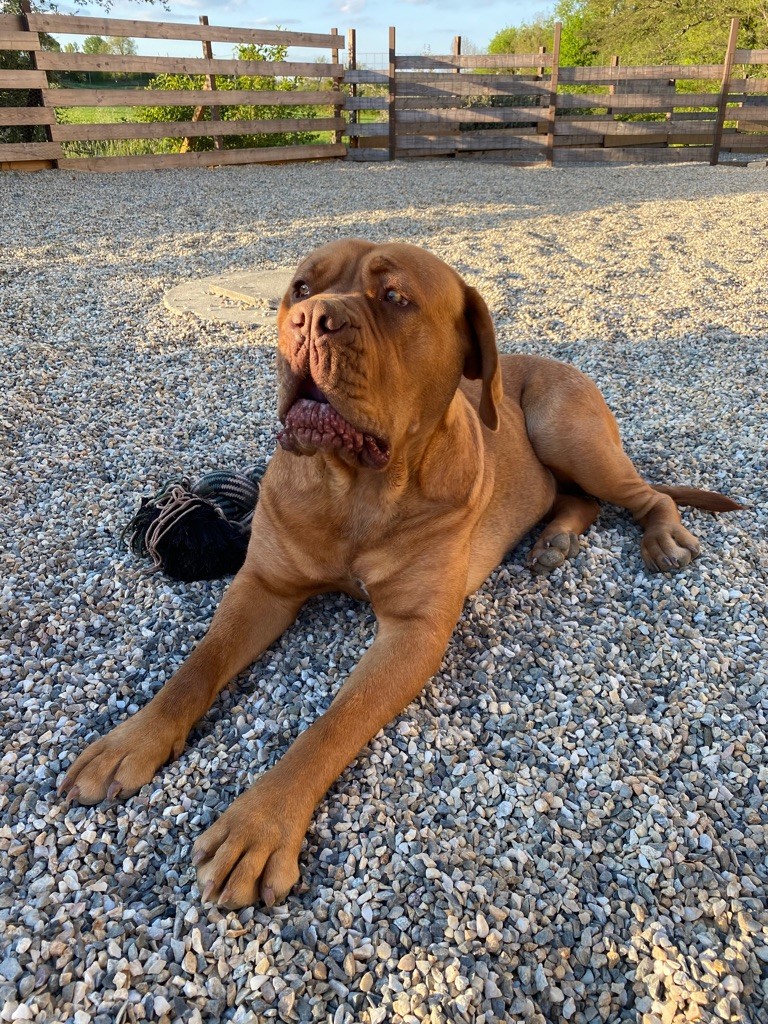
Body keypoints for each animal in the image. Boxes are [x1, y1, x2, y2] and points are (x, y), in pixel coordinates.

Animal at [61, 243, 745, 909]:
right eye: (301, 289)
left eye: (394, 297)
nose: (311, 320)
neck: (353, 491)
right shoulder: (263, 586)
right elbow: (196, 667)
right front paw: (130, 741)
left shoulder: (414, 631)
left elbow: (331, 725)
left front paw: (259, 825)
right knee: (580, 500)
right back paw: (554, 539)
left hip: (568, 432)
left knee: (643, 495)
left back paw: (662, 538)